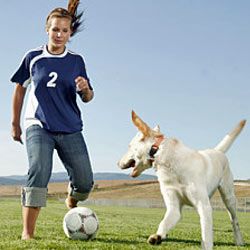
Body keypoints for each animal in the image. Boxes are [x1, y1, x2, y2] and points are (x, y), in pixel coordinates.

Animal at [118, 112, 245, 250]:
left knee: (234, 221)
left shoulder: (204, 206)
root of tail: (217, 151)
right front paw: (158, 236)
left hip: (228, 198)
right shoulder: (174, 208)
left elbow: (206, 238)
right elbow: (163, 223)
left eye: (129, 146)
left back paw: (239, 241)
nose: (117, 163)